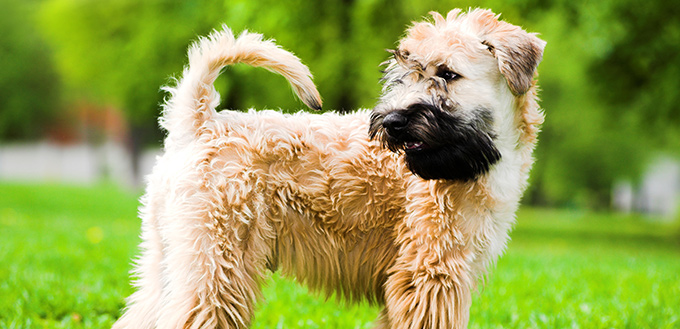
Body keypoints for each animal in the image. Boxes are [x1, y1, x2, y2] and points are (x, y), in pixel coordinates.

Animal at [114, 7, 544, 328]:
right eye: (404, 76)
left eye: (448, 74)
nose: (391, 122)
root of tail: (200, 123)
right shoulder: (430, 275)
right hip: (217, 267)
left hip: (172, 259)